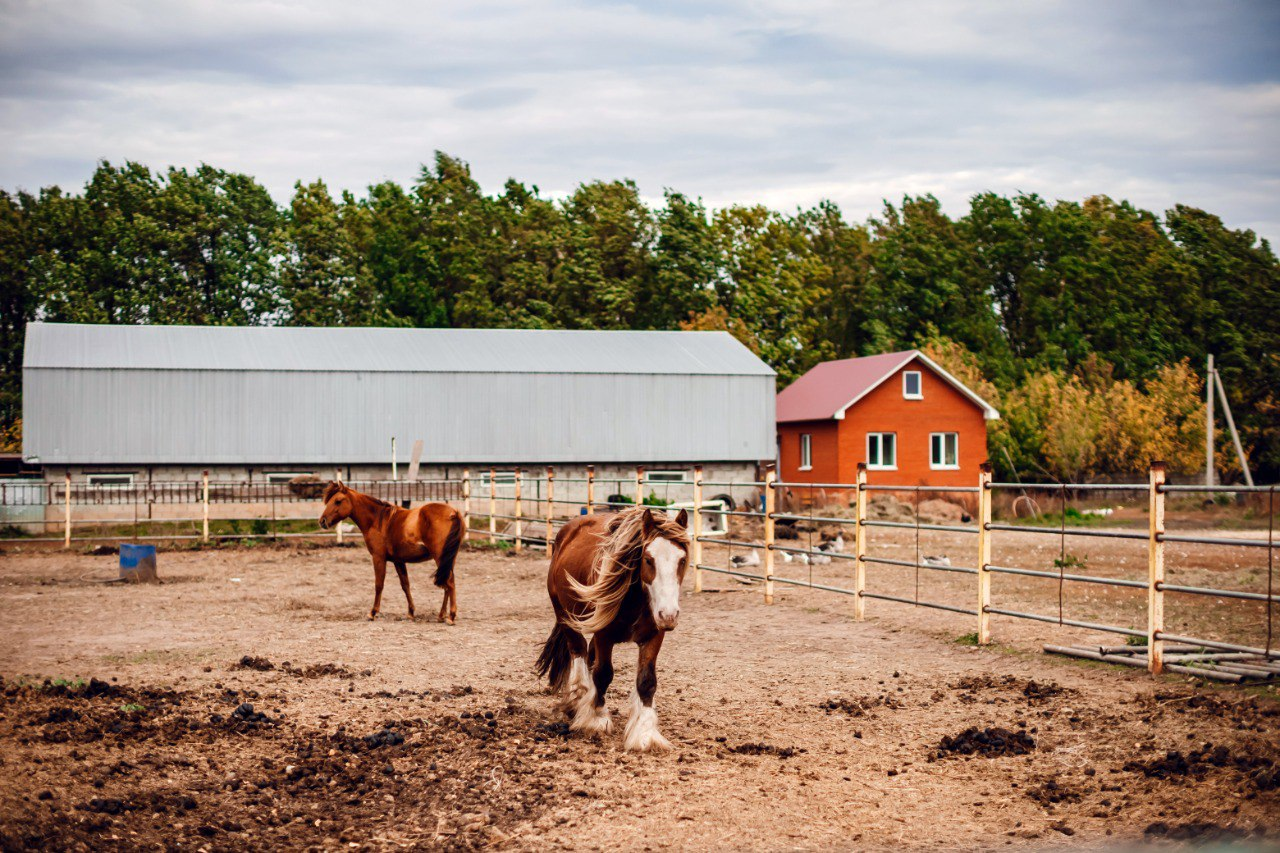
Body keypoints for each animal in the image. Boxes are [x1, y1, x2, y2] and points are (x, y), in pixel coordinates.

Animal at [317, 481, 463, 622]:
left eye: (338, 501)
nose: (322, 521)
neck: (377, 520)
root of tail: (453, 513)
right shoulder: (398, 561)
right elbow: (405, 585)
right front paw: (411, 612)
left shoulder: (378, 558)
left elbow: (379, 585)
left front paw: (373, 613)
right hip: (447, 560)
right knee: (447, 584)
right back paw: (441, 615)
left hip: (440, 557)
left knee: (449, 582)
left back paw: (451, 616)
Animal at [532, 504, 691, 753]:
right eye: (648, 559)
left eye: (681, 560)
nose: (669, 614)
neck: (635, 599)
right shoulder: (604, 634)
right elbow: (603, 674)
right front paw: (597, 718)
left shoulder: (655, 635)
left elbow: (647, 681)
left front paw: (645, 733)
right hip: (565, 616)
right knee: (578, 651)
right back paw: (578, 699)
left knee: (588, 655)